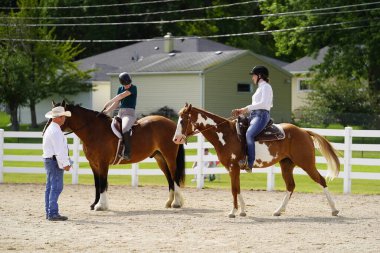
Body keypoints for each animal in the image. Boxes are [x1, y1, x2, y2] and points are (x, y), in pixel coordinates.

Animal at [53, 101, 184, 210]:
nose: (49, 129)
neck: (94, 131)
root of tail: (171, 123)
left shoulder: (103, 163)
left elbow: (102, 183)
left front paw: (101, 206)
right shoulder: (93, 164)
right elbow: (97, 184)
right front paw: (94, 204)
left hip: (169, 157)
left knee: (174, 176)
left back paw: (176, 203)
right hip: (160, 158)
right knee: (169, 178)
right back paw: (169, 202)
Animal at [174, 104, 340, 217]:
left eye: (183, 120)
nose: (176, 139)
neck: (226, 134)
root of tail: (304, 131)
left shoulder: (233, 167)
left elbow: (234, 189)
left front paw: (233, 211)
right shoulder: (233, 168)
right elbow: (237, 188)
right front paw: (242, 211)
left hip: (306, 163)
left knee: (321, 180)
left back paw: (334, 209)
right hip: (286, 165)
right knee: (291, 186)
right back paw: (278, 210)